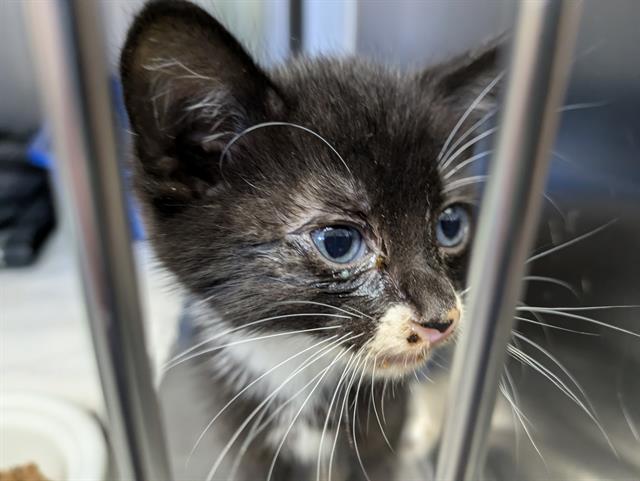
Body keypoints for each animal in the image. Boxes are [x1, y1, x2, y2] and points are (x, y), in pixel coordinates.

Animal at [119, 1, 500, 478]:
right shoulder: (243, 427)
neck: (300, 360)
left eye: (450, 225)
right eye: (338, 242)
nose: (441, 317)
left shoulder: (382, 427)